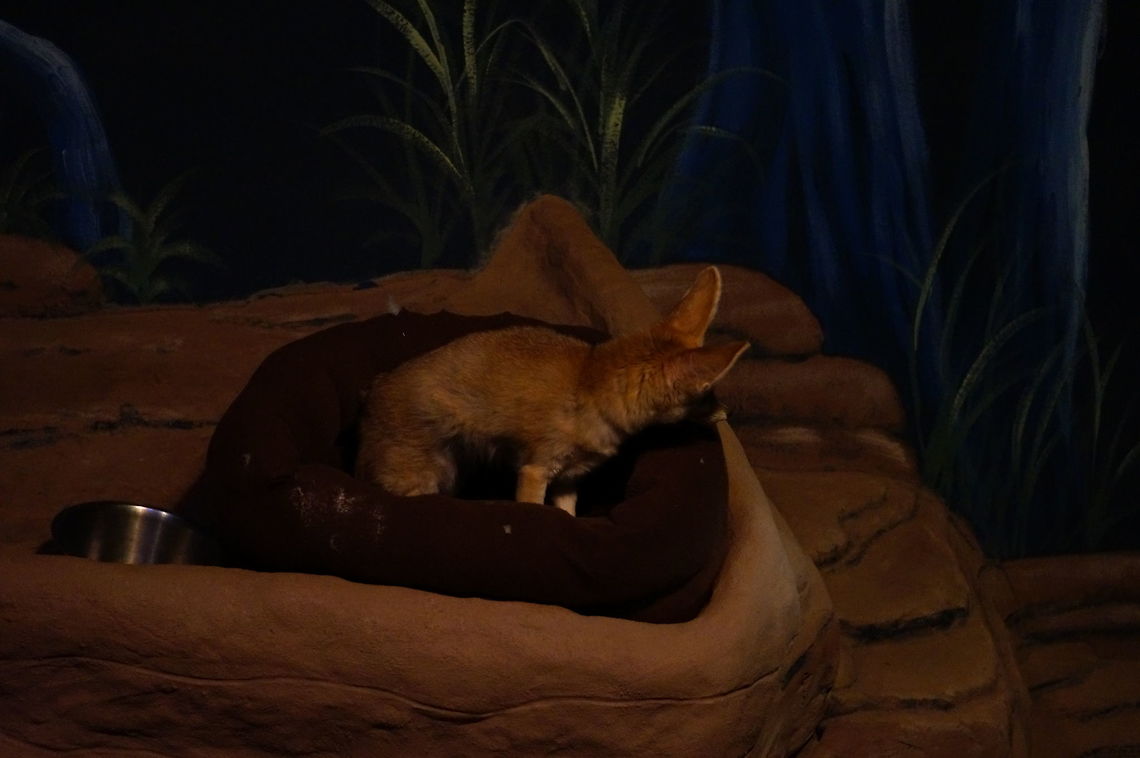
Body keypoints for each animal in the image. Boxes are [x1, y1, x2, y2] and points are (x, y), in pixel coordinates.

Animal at [354, 266, 749, 517]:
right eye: (707, 394)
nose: (728, 412)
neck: (587, 382)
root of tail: (372, 392)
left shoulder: (568, 478)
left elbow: (568, 514)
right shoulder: (535, 469)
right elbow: (534, 509)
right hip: (426, 479)